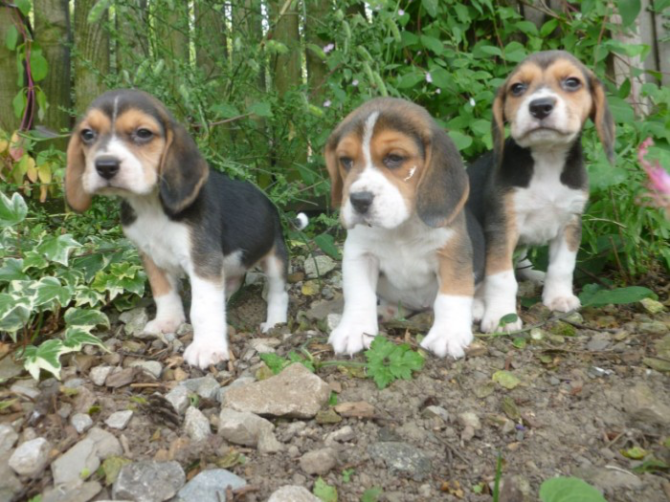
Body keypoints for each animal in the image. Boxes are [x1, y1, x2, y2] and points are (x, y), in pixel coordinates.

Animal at [67, 88, 296, 366]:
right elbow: (164, 292)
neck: (150, 206)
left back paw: (275, 322)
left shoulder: (202, 259)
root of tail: (271, 205)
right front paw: (168, 322)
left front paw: (207, 347)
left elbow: (203, 308)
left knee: (278, 293)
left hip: (275, 257)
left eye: (143, 133)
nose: (105, 165)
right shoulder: (150, 255)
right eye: (87, 134)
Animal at [324, 97, 484, 356]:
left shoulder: (452, 253)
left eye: (394, 158)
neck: (402, 227)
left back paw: (476, 308)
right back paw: (387, 311)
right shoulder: (359, 254)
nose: (359, 200)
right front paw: (354, 330)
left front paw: (447, 335)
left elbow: (451, 295)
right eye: (346, 161)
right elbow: (359, 294)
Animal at [468, 52, 616, 334]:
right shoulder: (502, 226)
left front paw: (558, 298)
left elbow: (562, 266)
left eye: (572, 82)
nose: (540, 106)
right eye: (517, 88)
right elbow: (502, 278)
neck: (547, 158)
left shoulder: (571, 222)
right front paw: (502, 317)